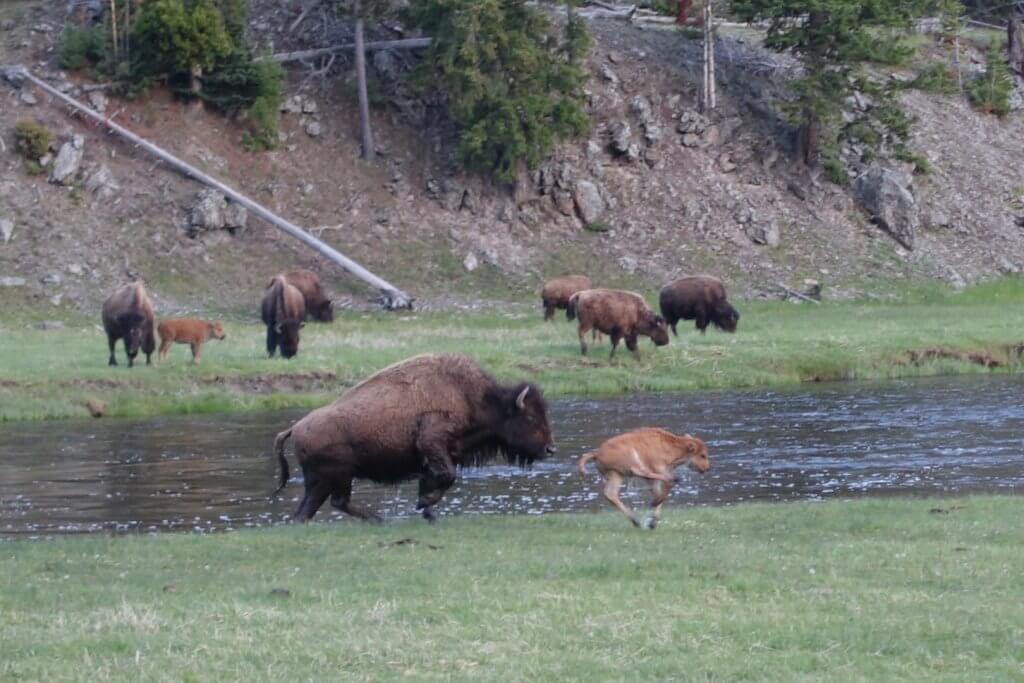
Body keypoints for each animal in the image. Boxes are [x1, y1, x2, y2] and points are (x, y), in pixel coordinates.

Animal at [272, 352, 557, 524]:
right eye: (529, 418)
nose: (550, 449)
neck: (473, 399)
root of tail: (295, 428)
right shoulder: (433, 444)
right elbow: (447, 477)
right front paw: (424, 504)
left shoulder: (431, 458)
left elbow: (434, 480)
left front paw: (428, 512)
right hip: (335, 476)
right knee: (335, 502)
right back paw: (378, 519)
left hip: (324, 480)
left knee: (312, 509)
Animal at [577, 430, 712, 532]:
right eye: (702, 455)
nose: (707, 468)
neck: (670, 446)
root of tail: (597, 453)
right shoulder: (659, 469)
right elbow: (664, 487)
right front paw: (654, 505)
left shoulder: (654, 480)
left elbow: (659, 493)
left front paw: (653, 522)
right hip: (632, 463)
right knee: (640, 472)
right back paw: (675, 478)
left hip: (616, 475)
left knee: (611, 494)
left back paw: (636, 521)